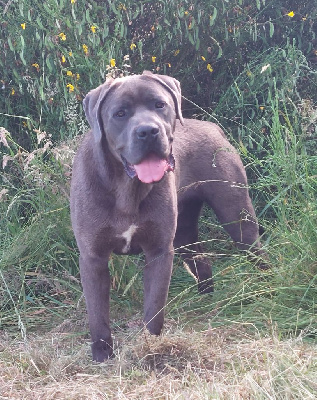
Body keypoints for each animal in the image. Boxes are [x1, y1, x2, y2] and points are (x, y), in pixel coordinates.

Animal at [70, 71, 266, 362]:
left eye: (159, 105)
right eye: (120, 113)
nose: (148, 131)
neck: (126, 188)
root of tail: (212, 127)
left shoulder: (160, 250)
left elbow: (154, 306)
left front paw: (150, 346)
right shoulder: (93, 257)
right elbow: (97, 313)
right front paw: (102, 352)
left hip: (236, 215)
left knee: (255, 250)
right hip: (185, 233)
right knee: (202, 260)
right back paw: (205, 298)